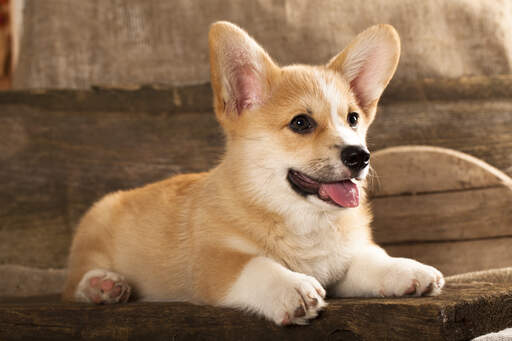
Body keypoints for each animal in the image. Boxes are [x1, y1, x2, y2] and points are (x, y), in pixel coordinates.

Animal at [63, 20, 444, 324]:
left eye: (352, 119)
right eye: (301, 123)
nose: (360, 156)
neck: (301, 218)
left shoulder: (342, 264)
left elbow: (371, 260)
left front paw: (407, 269)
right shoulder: (215, 263)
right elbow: (257, 264)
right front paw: (292, 287)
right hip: (96, 224)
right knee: (72, 283)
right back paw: (102, 285)